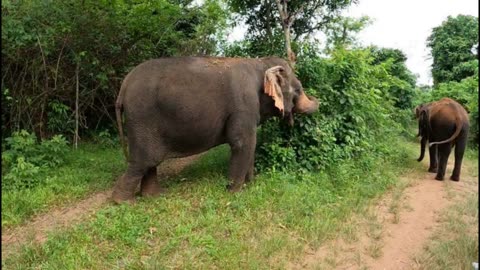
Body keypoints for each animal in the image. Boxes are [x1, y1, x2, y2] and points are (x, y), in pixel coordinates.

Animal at [112, 57, 318, 205]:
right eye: (298, 90)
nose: (318, 99)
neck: (259, 63)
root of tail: (123, 88)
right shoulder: (244, 106)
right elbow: (243, 143)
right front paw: (234, 192)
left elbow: (250, 145)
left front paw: (251, 185)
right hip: (142, 119)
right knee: (143, 161)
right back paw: (124, 202)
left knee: (149, 163)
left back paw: (154, 196)